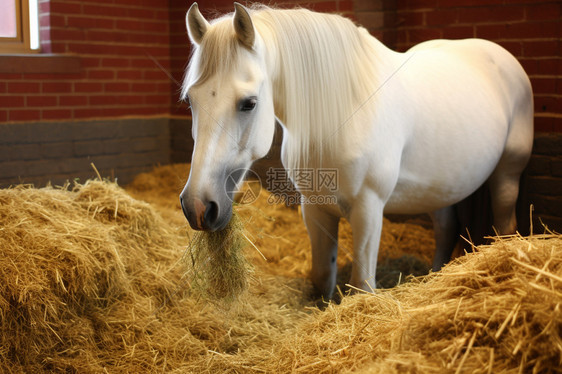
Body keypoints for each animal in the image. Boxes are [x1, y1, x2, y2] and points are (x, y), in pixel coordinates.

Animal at [178, 3, 528, 298]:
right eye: (191, 101)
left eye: (248, 103)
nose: (197, 206)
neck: (342, 111)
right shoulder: (315, 208)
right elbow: (322, 277)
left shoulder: (368, 209)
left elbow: (362, 285)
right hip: (441, 187)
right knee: (445, 229)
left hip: (507, 175)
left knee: (504, 225)